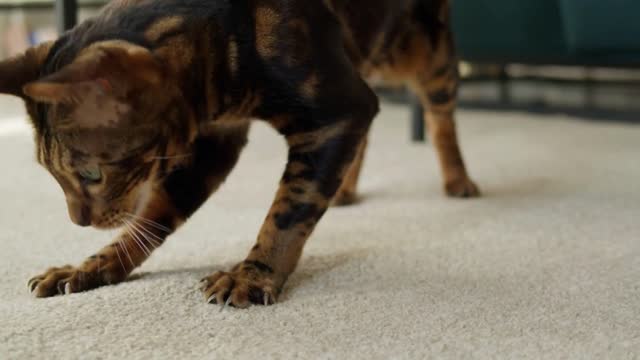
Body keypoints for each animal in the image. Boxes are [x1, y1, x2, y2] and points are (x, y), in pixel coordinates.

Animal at [0, 0, 478, 310]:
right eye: (52, 174)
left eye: (91, 174)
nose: (77, 222)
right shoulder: (212, 143)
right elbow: (150, 220)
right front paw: (90, 268)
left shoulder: (340, 112)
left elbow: (288, 212)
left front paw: (253, 274)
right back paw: (345, 190)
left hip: (425, 55)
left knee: (441, 118)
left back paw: (458, 181)